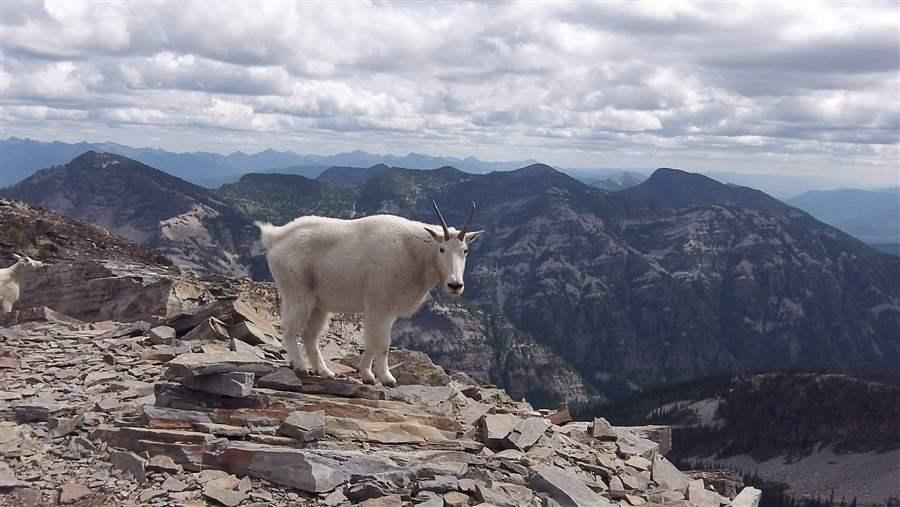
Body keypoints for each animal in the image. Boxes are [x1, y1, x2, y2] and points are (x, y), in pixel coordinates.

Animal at [258, 202, 486, 384]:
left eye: (465, 250)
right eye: (442, 249)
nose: (455, 285)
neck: (414, 253)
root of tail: (275, 238)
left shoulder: (385, 310)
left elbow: (370, 342)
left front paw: (367, 375)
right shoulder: (380, 305)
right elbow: (382, 344)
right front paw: (387, 378)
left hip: (319, 305)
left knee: (310, 336)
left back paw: (325, 372)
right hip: (297, 293)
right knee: (290, 328)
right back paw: (300, 366)